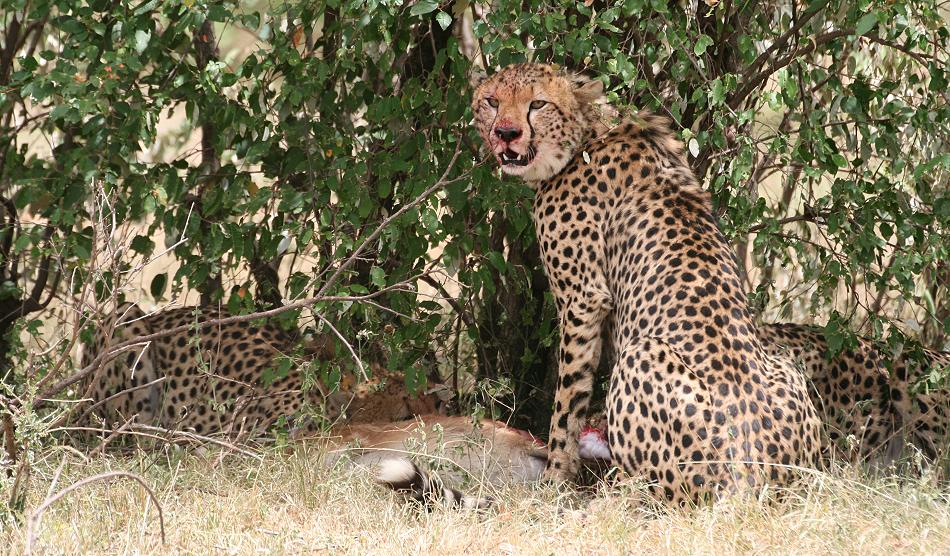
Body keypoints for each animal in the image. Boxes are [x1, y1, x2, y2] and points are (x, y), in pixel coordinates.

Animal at [476, 63, 824, 502]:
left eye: (538, 103)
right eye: (491, 101)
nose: (506, 133)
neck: (587, 132)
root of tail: (757, 476)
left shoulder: (583, 298)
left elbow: (568, 399)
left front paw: (555, 480)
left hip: (644, 355)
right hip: (783, 361)